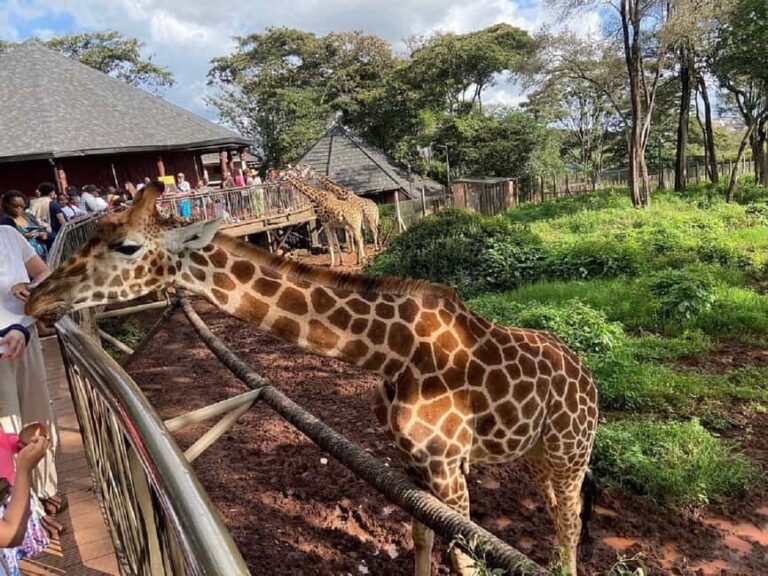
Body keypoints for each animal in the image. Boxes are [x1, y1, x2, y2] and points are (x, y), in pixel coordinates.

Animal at [25, 182, 598, 576]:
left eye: (126, 246)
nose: (36, 298)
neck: (390, 353)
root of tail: (587, 375)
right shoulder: (414, 462)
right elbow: (422, 535)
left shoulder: (446, 463)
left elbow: (466, 559)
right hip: (537, 454)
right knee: (558, 516)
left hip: (570, 450)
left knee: (570, 522)